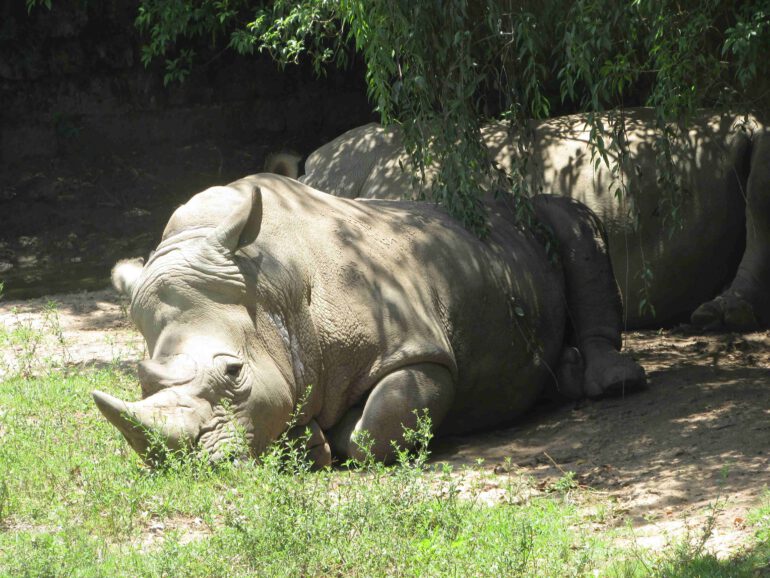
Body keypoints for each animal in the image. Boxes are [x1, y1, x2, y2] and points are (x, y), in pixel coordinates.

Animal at [94, 174, 644, 465]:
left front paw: (331, 440)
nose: (184, 462)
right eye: (143, 382)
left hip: (541, 217)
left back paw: (613, 383)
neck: (273, 288)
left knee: (572, 224)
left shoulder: (418, 352)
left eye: (234, 373)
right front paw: (310, 442)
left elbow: (375, 426)